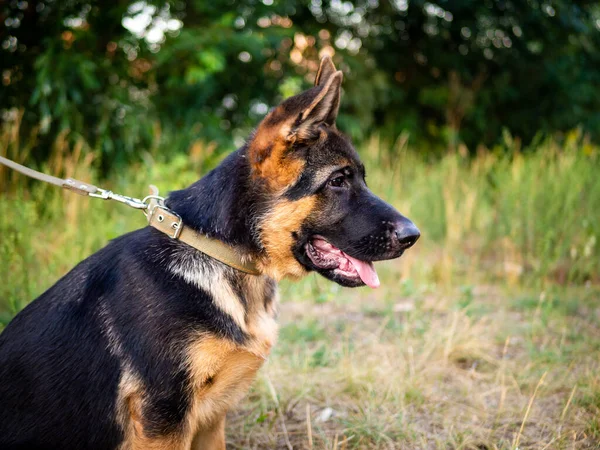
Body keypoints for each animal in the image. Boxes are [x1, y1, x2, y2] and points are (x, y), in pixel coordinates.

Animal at [0, 57, 420, 450]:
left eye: (361, 178)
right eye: (337, 181)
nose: (413, 236)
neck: (221, 255)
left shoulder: (210, 419)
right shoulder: (164, 419)